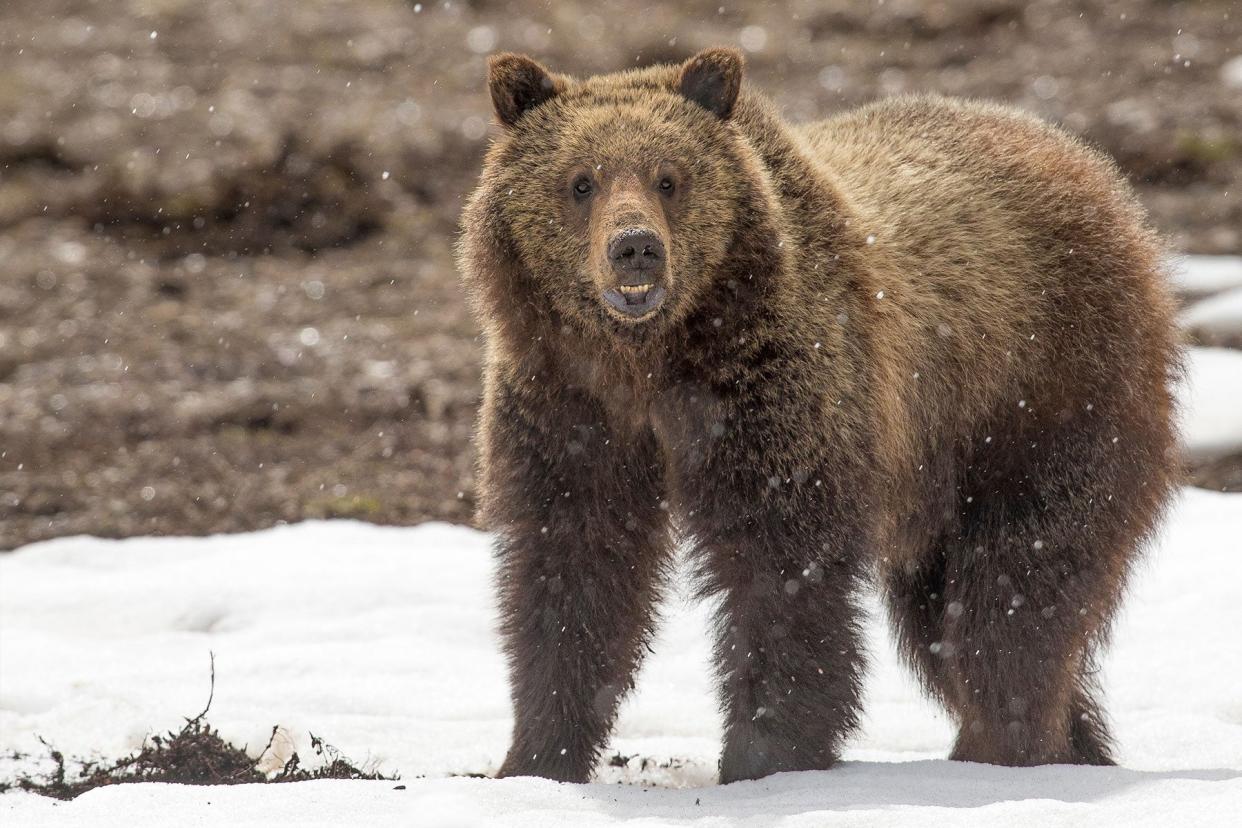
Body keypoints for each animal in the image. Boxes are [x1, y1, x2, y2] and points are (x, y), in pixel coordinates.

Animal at [459, 46, 1182, 784]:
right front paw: (535, 757)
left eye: (669, 178)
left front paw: (764, 757)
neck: (652, 362)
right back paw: (1072, 745)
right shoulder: (569, 407)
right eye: (580, 181)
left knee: (1018, 588)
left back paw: (1003, 747)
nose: (635, 247)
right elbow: (573, 565)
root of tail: (1096, 173)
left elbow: (782, 569)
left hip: (1043, 394)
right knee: (943, 614)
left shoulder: (777, 393)